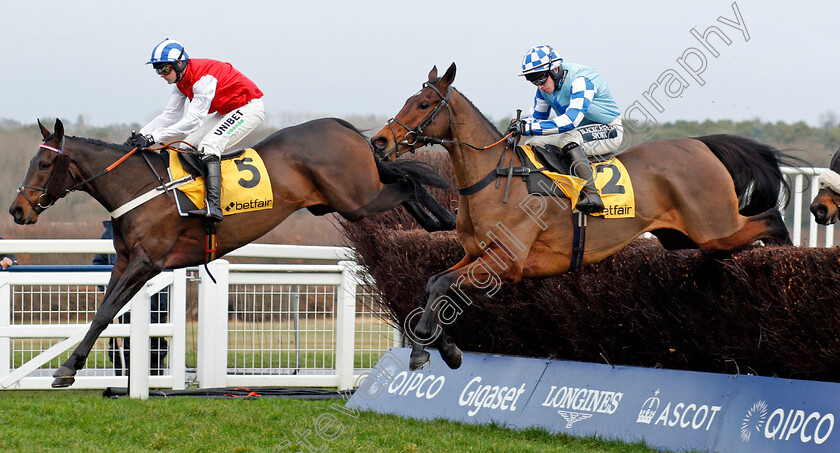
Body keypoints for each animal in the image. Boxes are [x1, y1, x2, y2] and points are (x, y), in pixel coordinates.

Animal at [9, 115, 452, 384]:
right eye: (30, 161)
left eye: (44, 165)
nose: (17, 210)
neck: (137, 187)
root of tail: (339, 125)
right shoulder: (123, 262)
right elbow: (103, 313)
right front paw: (73, 364)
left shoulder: (147, 263)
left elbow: (105, 313)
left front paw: (66, 368)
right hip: (341, 200)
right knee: (406, 185)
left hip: (358, 198)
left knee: (410, 184)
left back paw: (445, 225)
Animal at [372, 61, 796, 370]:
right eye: (409, 99)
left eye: (423, 104)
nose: (379, 141)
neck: (494, 178)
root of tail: (702, 145)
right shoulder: (476, 255)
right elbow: (435, 284)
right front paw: (443, 348)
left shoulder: (507, 263)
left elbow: (445, 286)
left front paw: (424, 351)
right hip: (684, 237)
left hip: (714, 225)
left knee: (770, 219)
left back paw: (787, 257)